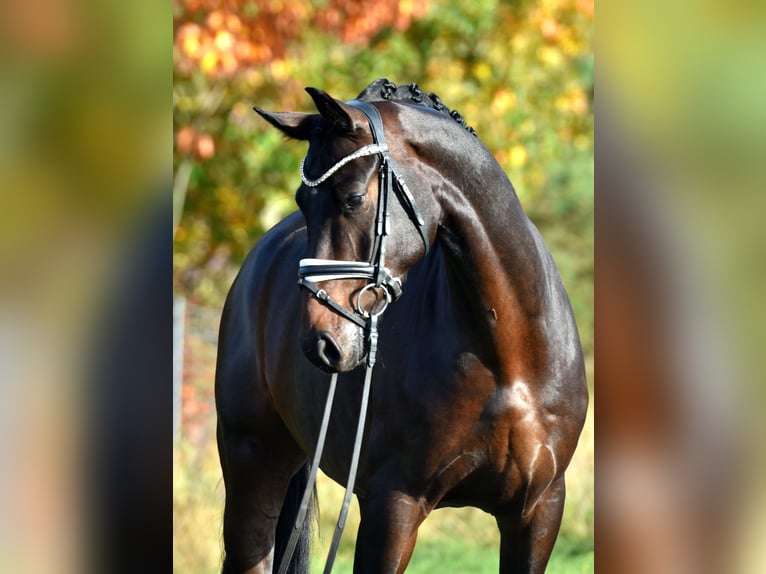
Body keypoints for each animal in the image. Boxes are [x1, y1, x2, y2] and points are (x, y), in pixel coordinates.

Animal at [215, 79, 588, 573]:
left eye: (353, 198)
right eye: (303, 202)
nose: (319, 344)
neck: (510, 359)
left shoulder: (538, 510)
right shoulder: (393, 505)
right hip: (251, 468)